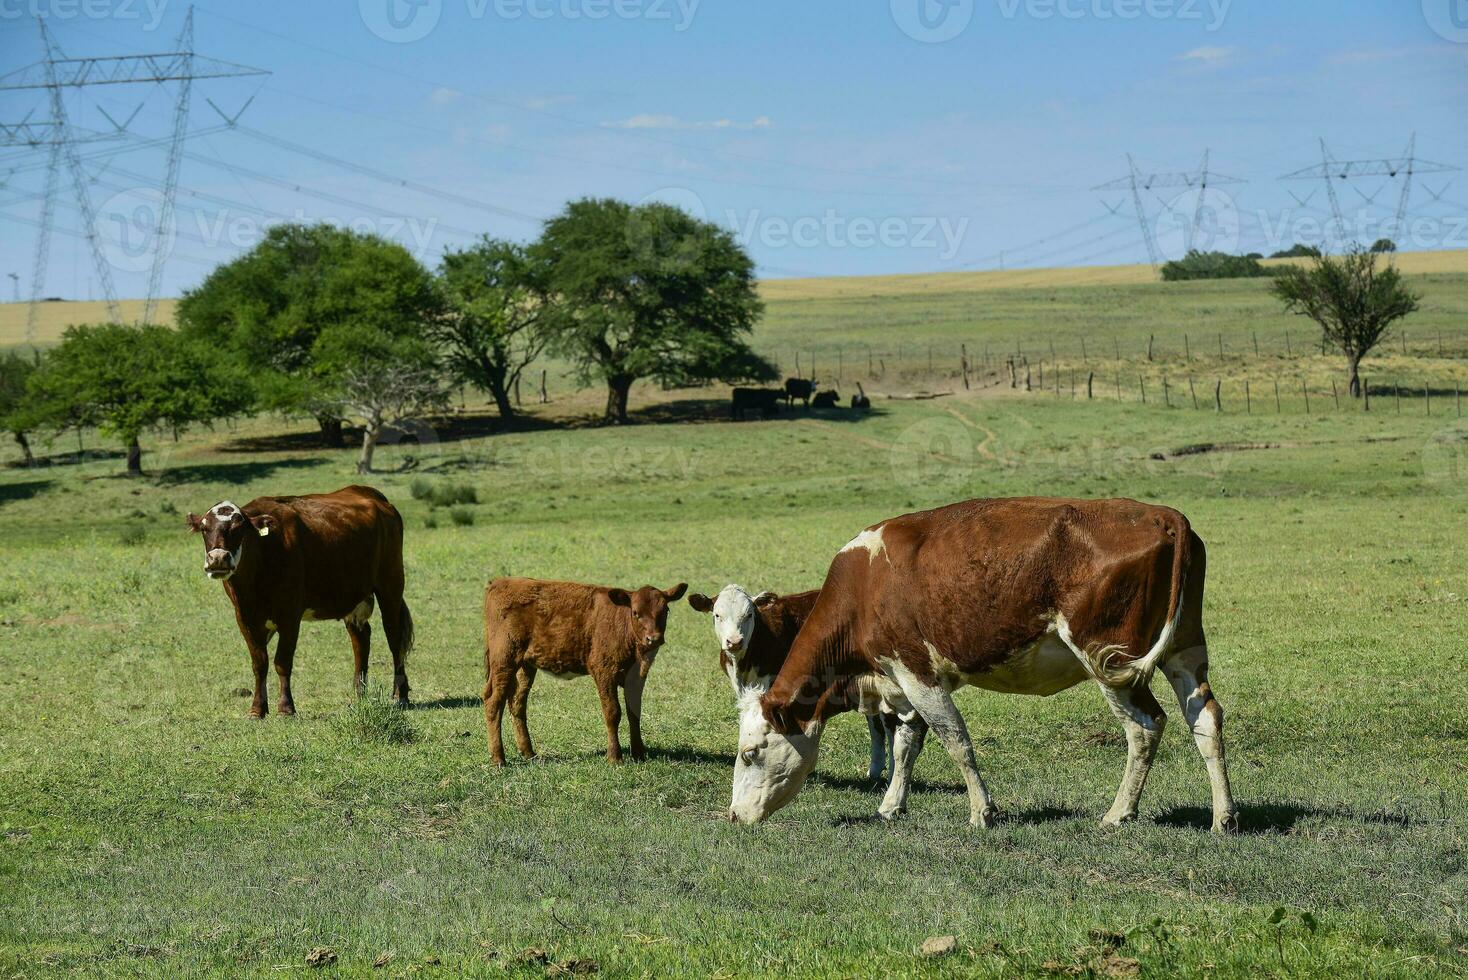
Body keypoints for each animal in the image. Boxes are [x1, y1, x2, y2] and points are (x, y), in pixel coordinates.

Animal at [187, 487, 413, 715]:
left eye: (239, 528)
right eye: (204, 528)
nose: (218, 559)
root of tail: (371, 494)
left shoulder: (290, 615)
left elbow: (282, 662)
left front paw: (286, 707)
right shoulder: (244, 617)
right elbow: (259, 663)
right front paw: (257, 709)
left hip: (390, 587)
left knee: (394, 639)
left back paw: (400, 695)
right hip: (353, 596)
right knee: (361, 639)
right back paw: (360, 694)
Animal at [481, 578, 687, 768]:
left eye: (665, 611)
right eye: (635, 612)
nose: (654, 639)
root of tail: (500, 582)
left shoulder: (636, 678)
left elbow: (634, 713)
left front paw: (638, 754)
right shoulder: (604, 671)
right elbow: (613, 712)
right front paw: (615, 757)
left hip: (525, 665)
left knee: (517, 702)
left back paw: (529, 753)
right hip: (504, 659)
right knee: (493, 701)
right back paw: (498, 758)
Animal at [728, 492, 1233, 833]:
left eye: (750, 752)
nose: (733, 815)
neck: (865, 585)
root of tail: (1162, 516)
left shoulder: (917, 671)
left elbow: (957, 742)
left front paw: (981, 811)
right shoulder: (905, 681)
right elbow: (907, 745)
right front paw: (892, 805)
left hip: (1110, 660)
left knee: (1145, 726)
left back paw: (1118, 813)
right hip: (1184, 648)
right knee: (1203, 716)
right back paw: (1223, 816)